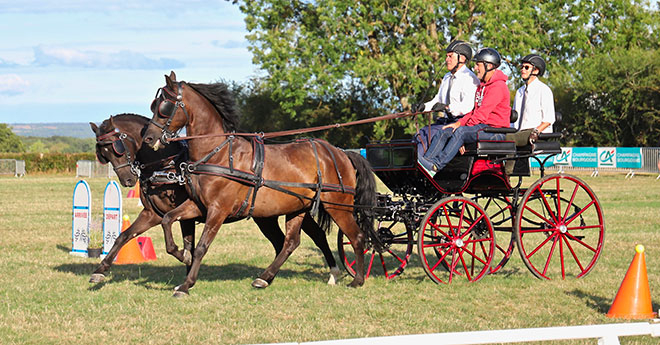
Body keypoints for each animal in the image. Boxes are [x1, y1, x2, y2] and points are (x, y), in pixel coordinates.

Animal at [91, 113, 342, 284]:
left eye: (118, 147)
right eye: (104, 154)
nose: (127, 179)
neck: (167, 164)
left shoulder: (186, 215)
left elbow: (186, 244)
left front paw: (186, 264)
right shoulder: (152, 214)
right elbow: (124, 236)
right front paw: (100, 270)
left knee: (314, 236)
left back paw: (332, 272)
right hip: (267, 216)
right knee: (283, 241)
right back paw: (271, 276)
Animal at [142, 70, 374, 296]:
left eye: (164, 106)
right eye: (154, 105)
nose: (149, 138)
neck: (218, 153)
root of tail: (341, 153)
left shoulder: (218, 210)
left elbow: (201, 247)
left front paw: (186, 285)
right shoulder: (198, 205)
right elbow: (168, 220)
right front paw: (182, 256)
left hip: (338, 206)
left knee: (357, 237)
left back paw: (357, 280)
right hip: (297, 208)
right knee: (291, 242)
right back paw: (265, 278)